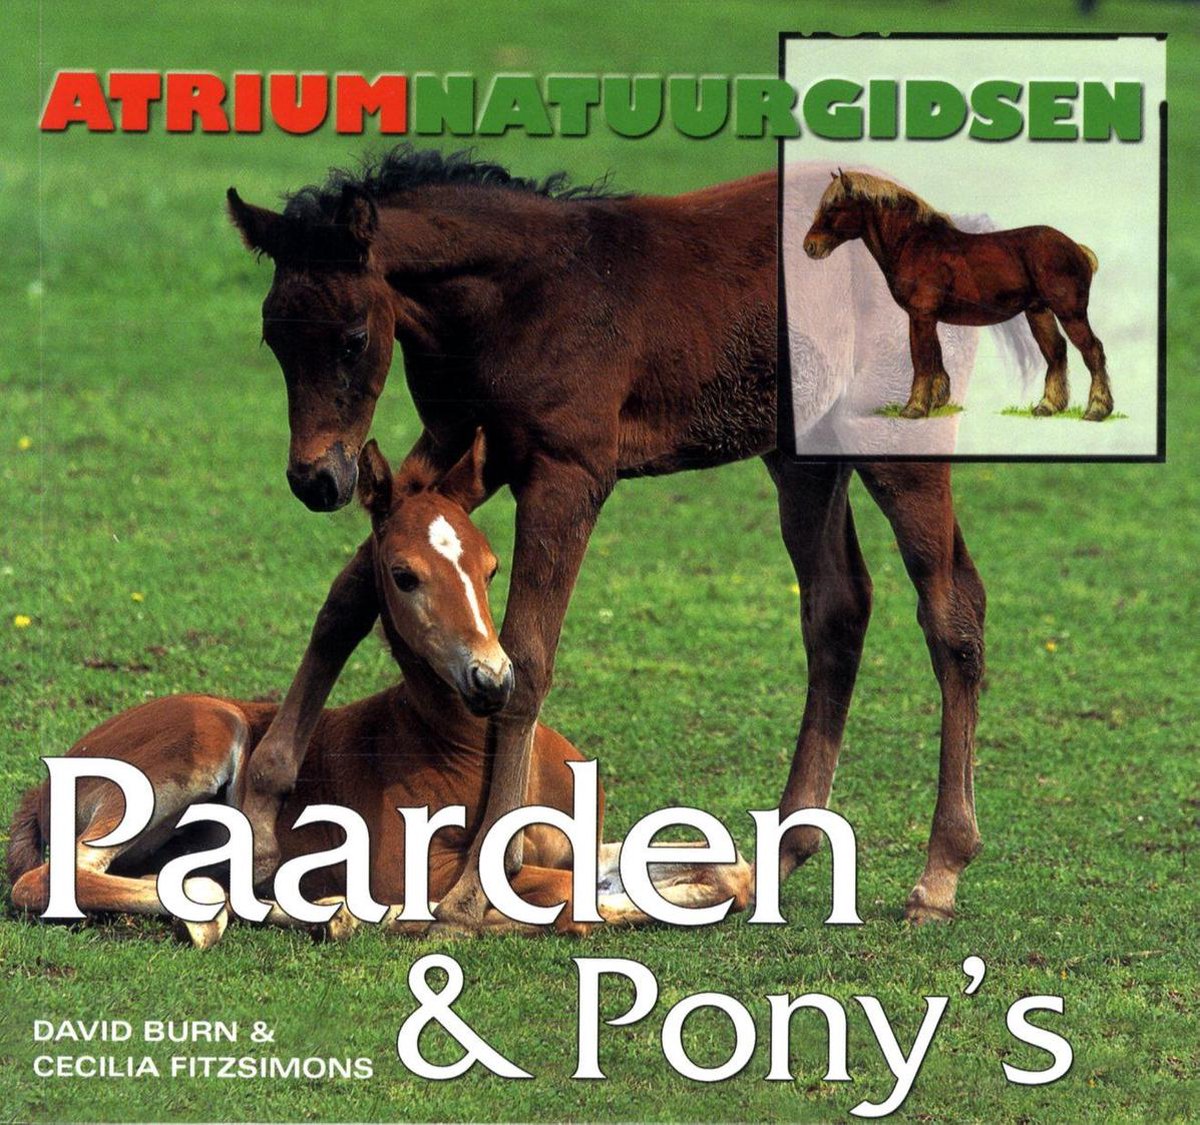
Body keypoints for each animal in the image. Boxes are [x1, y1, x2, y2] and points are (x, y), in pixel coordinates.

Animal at [5, 434, 753, 945]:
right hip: (202, 738)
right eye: (403, 574)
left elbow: (726, 872)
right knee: (51, 877)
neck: (472, 749)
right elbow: (561, 900)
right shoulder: (427, 868)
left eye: (490, 566)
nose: (492, 680)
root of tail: (43, 783)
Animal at [225, 145, 989, 931]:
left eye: (352, 339)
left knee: (951, 609)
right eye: (273, 336)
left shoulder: (569, 474)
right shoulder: (461, 449)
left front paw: (472, 891)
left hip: (895, 443)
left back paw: (938, 873)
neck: (517, 299)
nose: (316, 479)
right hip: (802, 459)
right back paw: (775, 861)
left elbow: (526, 657)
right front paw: (260, 813)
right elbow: (347, 597)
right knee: (837, 611)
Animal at [803, 169, 1113, 422]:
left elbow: (922, 359)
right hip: (1039, 312)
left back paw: (1096, 410)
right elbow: (935, 356)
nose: (809, 246)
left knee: (1092, 350)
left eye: (834, 207)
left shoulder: (921, 315)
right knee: (1057, 352)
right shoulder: (927, 317)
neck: (913, 243)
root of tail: (1077, 248)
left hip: (1070, 313)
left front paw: (914, 408)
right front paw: (937, 400)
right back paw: (1047, 406)